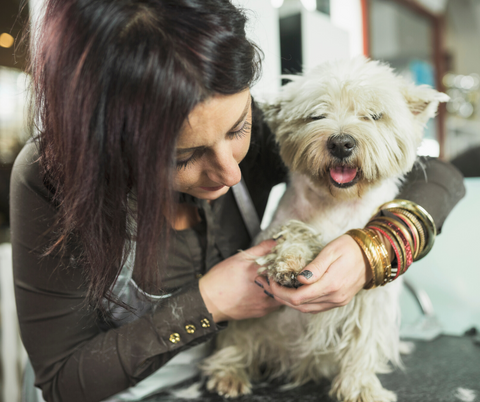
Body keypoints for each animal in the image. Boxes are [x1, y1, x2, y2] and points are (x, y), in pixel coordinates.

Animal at [201, 57, 448, 402]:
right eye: (316, 115)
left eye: (374, 116)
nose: (341, 142)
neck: (338, 203)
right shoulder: (273, 232)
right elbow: (291, 235)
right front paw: (290, 262)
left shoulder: (371, 299)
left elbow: (363, 340)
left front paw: (360, 388)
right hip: (250, 328)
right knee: (238, 345)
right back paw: (228, 374)